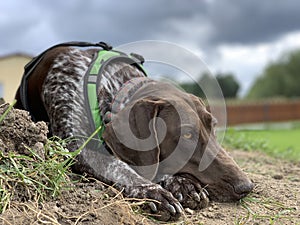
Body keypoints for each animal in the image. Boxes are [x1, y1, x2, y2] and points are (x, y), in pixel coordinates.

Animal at [14, 41, 253, 221]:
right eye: (187, 135)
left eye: (213, 127)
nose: (246, 186)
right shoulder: (78, 150)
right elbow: (118, 166)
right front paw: (153, 192)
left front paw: (182, 184)